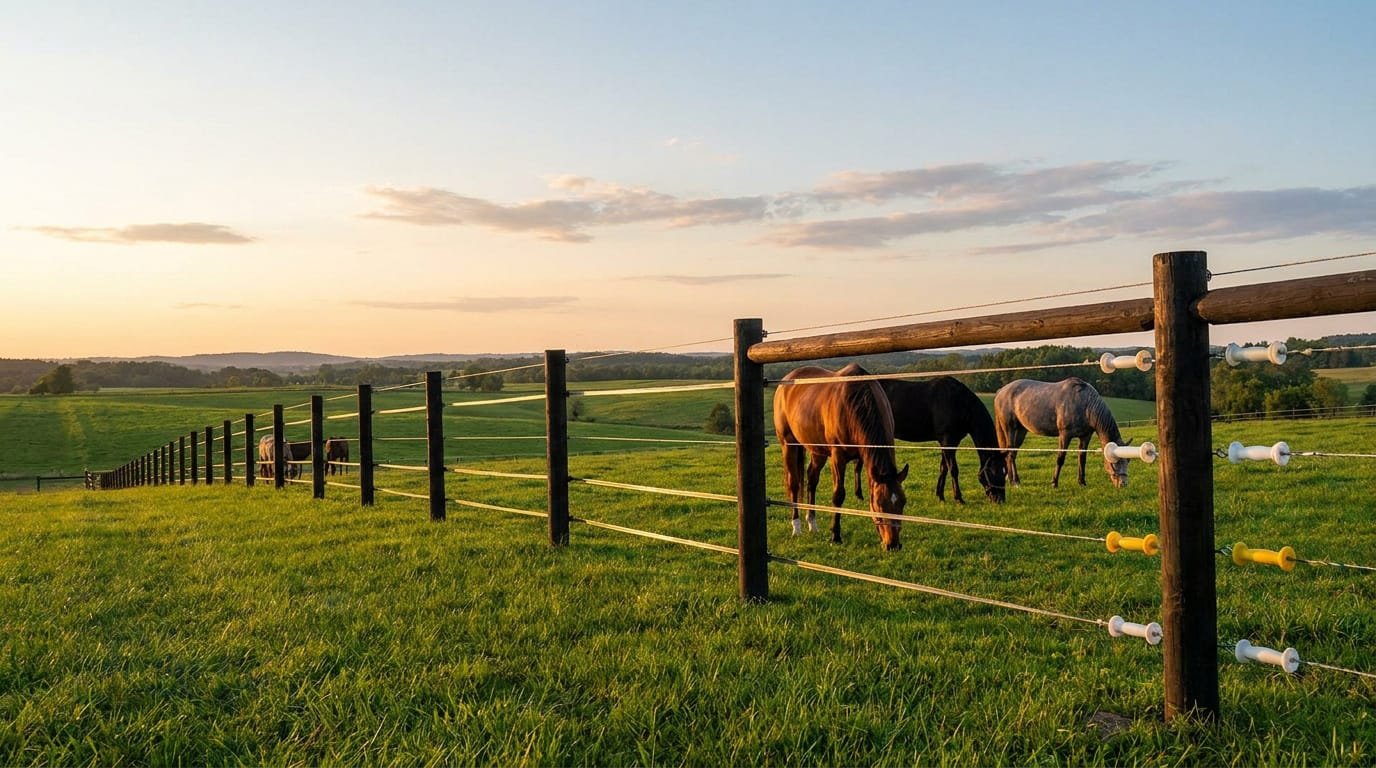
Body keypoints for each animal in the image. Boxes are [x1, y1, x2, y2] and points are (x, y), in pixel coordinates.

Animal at [772, 363, 909, 550]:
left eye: (903, 502)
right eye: (879, 504)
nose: (893, 545)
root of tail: (786, 380)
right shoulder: (838, 457)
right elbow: (838, 495)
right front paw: (835, 535)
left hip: (817, 450)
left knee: (811, 479)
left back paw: (812, 523)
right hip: (788, 445)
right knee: (794, 484)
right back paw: (797, 527)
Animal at [993, 377, 1132, 488]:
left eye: (1128, 460)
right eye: (1114, 462)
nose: (1123, 484)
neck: (1085, 404)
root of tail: (1001, 391)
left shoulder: (1085, 436)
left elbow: (1082, 458)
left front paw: (1082, 482)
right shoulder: (1065, 435)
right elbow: (1060, 458)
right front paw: (1054, 483)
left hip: (1021, 431)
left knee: (1012, 453)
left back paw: (1009, 479)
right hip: (1010, 429)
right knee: (1011, 453)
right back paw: (1015, 481)